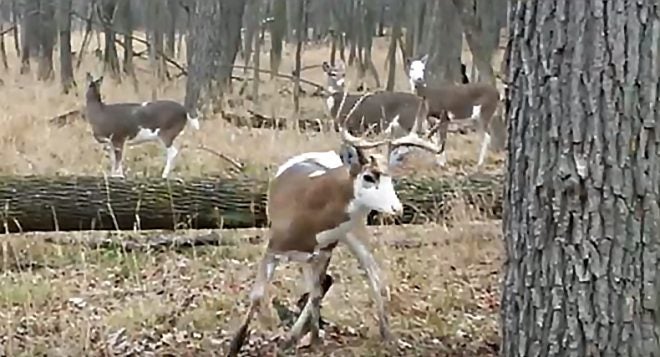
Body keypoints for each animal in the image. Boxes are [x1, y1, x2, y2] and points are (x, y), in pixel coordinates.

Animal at [226, 110, 438, 354]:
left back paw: (387, 335)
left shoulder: (325, 250)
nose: (397, 208)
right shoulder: (274, 246)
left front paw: (312, 341)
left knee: (369, 274)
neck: (309, 217)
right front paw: (235, 346)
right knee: (325, 283)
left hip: (351, 233)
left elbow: (316, 294)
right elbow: (258, 295)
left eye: (391, 178)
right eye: (369, 176)